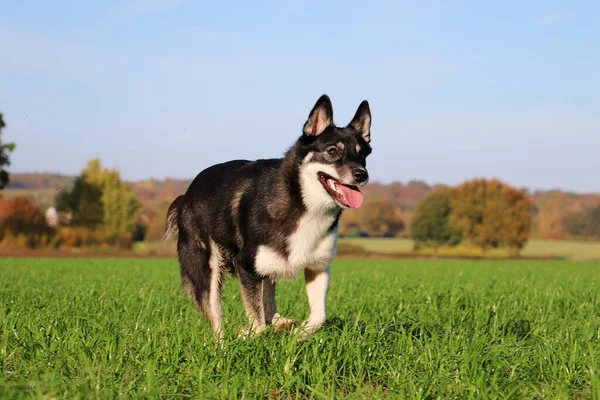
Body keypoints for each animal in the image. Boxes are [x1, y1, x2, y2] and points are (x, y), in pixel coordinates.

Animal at [163, 94, 370, 338]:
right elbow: (258, 323)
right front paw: (249, 335)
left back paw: (281, 322)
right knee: (216, 320)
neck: (302, 203)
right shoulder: (245, 266)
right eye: (332, 151)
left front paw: (297, 336)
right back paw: (223, 344)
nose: (362, 175)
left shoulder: (318, 267)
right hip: (206, 268)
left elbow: (319, 317)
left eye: (362, 154)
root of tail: (185, 195)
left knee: (269, 299)